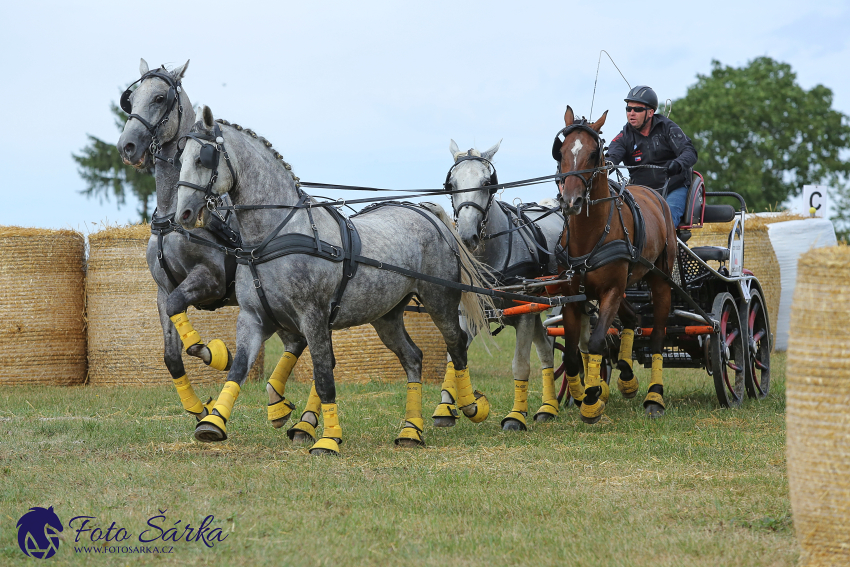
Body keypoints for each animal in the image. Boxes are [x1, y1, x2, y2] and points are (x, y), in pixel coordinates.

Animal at [173, 104, 494, 454]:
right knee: (412, 357)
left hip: (440, 301)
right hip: (386, 315)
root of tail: (424, 211)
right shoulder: (254, 317)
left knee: (457, 344)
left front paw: (327, 438)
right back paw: (411, 429)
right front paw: (213, 422)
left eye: (203, 158)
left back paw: (468, 406)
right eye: (180, 157)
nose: (183, 214)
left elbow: (324, 375)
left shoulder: (312, 317)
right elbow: (238, 369)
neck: (275, 235)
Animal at [448, 141, 572, 430]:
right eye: (451, 184)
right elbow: (455, 358)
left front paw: (516, 417)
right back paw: (548, 408)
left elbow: (520, 365)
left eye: (487, 182)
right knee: (546, 351)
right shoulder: (469, 314)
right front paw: (447, 409)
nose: (467, 236)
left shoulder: (524, 315)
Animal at [548, 106, 676, 424]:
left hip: (659, 279)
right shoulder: (574, 296)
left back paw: (654, 396)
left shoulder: (610, 292)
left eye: (594, 153)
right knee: (633, 318)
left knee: (657, 337)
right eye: (561, 151)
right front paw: (584, 392)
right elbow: (572, 355)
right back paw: (627, 377)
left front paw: (592, 401)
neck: (590, 236)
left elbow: (595, 343)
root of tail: (655, 194)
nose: (571, 201)